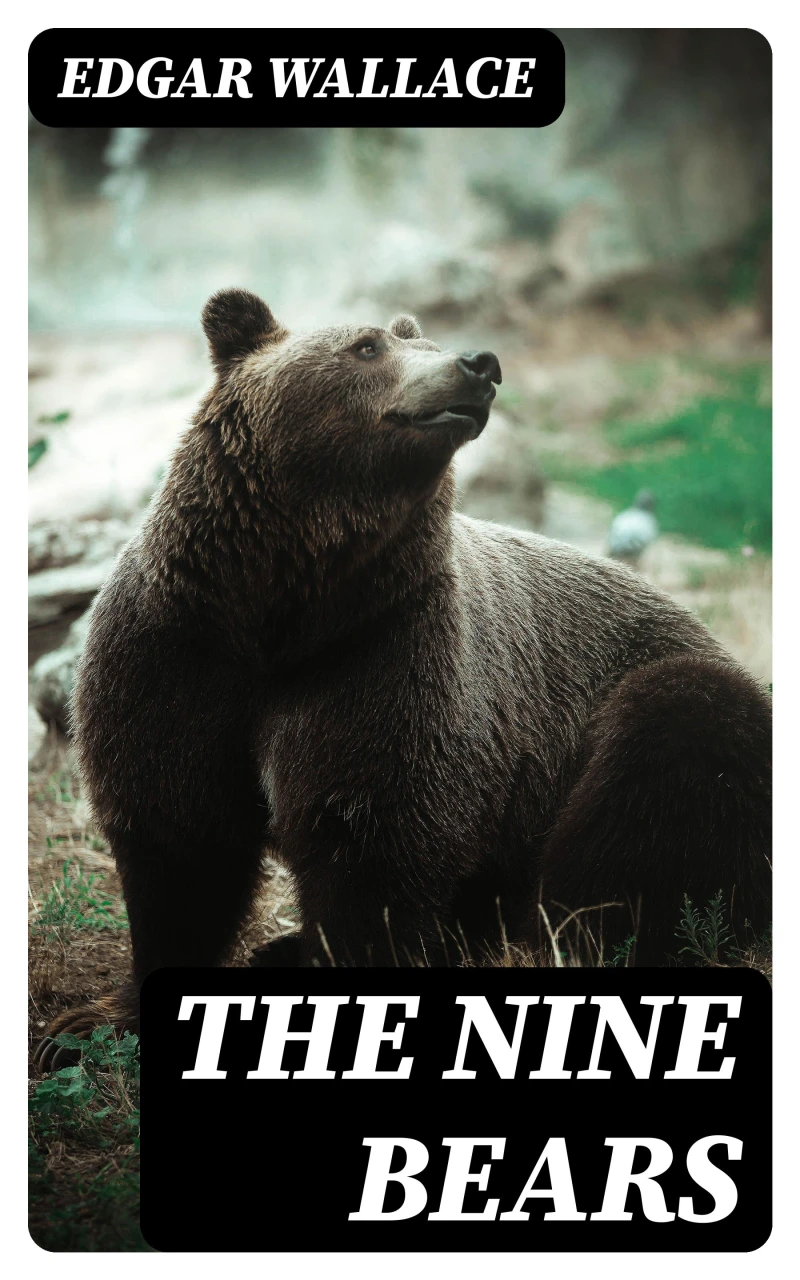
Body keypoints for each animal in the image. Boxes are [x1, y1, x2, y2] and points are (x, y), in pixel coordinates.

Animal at [35, 288, 771, 1070]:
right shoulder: (179, 655)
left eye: (417, 339)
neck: (283, 609)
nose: (479, 364)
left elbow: (373, 841)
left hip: (655, 716)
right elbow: (179, 839)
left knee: (664, 768)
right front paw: (82, 1027)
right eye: (366, 346)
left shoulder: (386, 658)